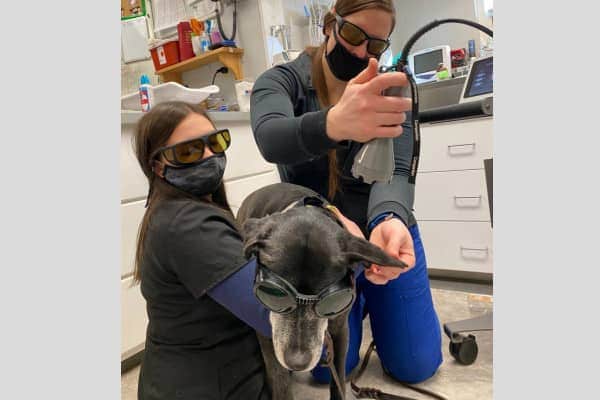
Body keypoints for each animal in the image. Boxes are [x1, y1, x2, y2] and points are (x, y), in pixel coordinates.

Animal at [237, 183, 406, 398]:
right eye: (275, 294)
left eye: (333, 301)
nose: (297, 362)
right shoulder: (267, 335)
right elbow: (280, 383)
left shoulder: (340, 329)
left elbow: (338, 378)